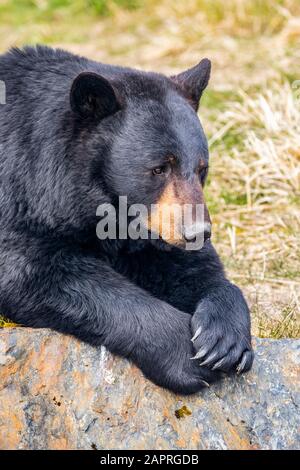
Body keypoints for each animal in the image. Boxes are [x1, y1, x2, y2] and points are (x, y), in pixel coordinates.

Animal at [0, 46, 253, 392]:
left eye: (202, 168)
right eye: (159, 168)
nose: (198, 232)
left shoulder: (152, 228)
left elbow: (191, 268)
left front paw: (224, 341)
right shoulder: (21, 197)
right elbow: (37, 273)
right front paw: (184, 356)